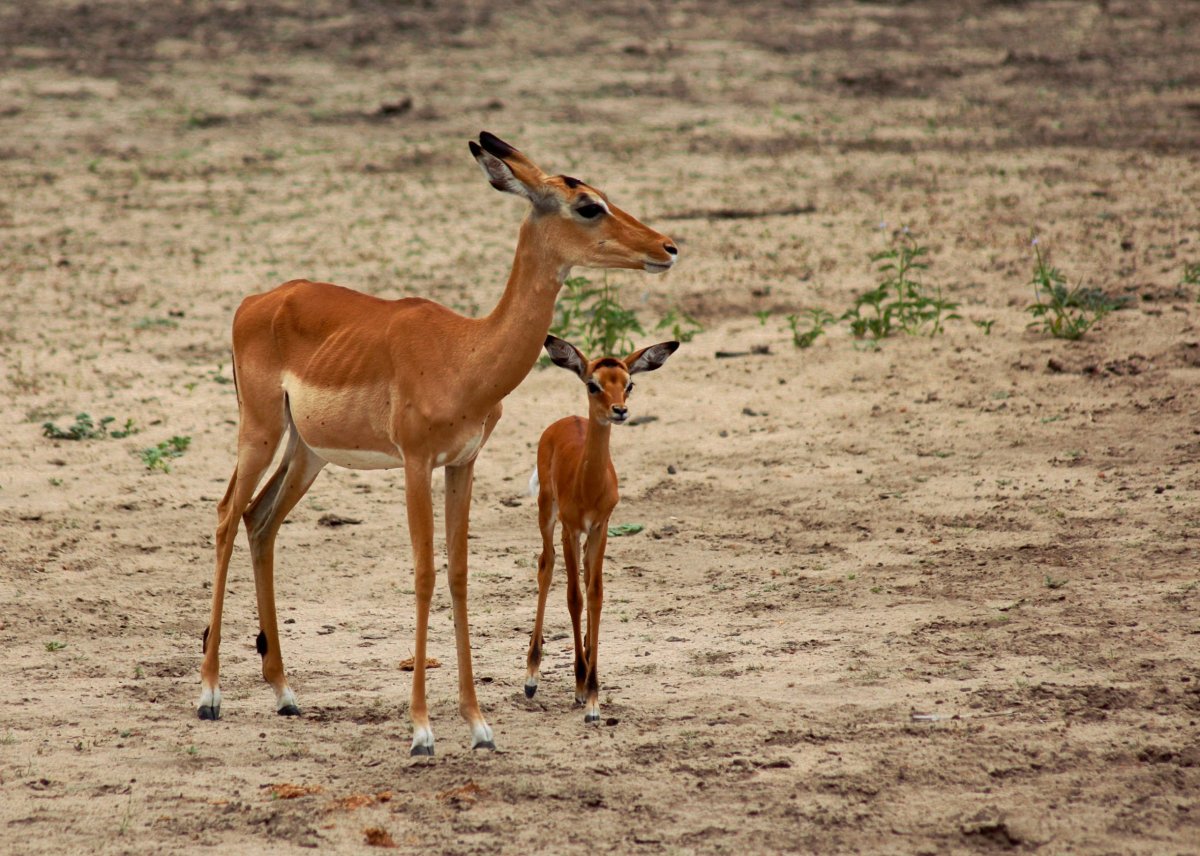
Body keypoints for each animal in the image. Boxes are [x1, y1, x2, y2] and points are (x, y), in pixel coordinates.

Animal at [525, 335, 679, 723]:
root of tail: (564, 421)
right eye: (593, 384)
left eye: (629, 383)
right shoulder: (571, 527)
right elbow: (574, 597)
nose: (619, 410)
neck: (589, 484)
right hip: (547, 513)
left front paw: (593, 696)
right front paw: (581, 686)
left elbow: (595, 595)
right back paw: (531, 677)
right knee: (546, 568)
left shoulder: (601, 528)